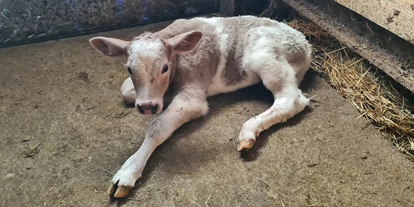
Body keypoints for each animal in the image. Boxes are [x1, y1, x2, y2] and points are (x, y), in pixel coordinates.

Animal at [89, 15, 312, 198]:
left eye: (164, 67)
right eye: (129, 68)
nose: (147, 106)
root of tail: (305, 44)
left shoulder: (192, 96)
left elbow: (157, 127)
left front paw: (128, 172)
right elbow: (125, 90)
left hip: (264, 55)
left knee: (291, 99)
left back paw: (248, 131)